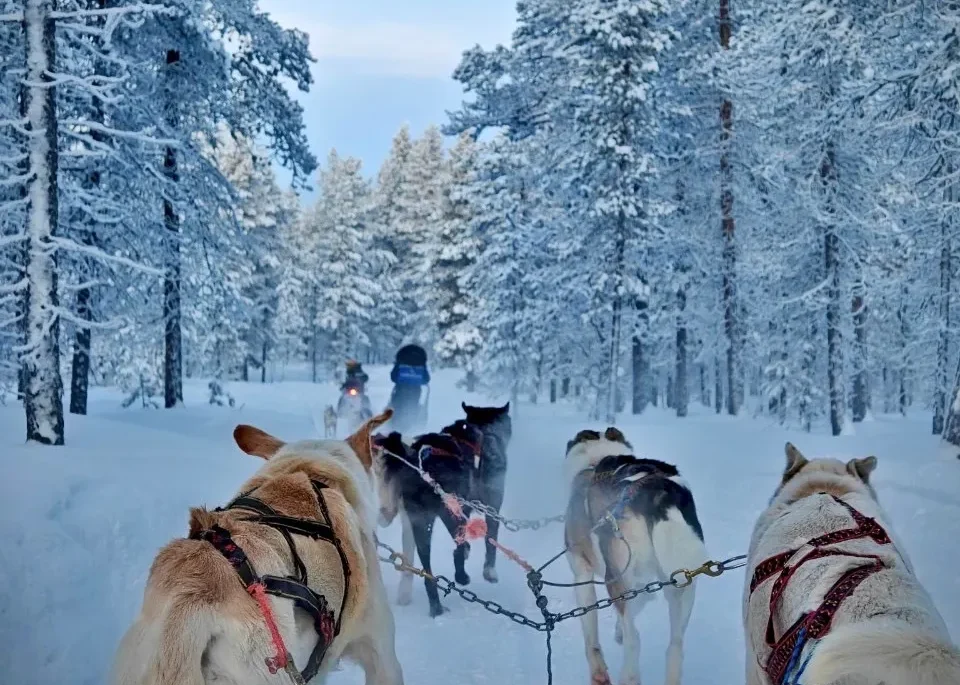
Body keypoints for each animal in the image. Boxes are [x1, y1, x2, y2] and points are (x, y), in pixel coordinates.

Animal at [372, 420, 484, 616]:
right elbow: (462, 545)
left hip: (420, 520)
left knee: (426, 564)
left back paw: (434, 604)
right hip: (448, 512)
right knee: (457, 544)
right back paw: (460, 577)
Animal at [564, 428, 704, 684]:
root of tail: (657, 490)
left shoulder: (582, 573)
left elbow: (591, 636)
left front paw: (598, 671)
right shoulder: (643, 583)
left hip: (618, 577)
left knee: (635, 639)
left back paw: (628, 674)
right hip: (682, 584)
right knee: (675, 646)